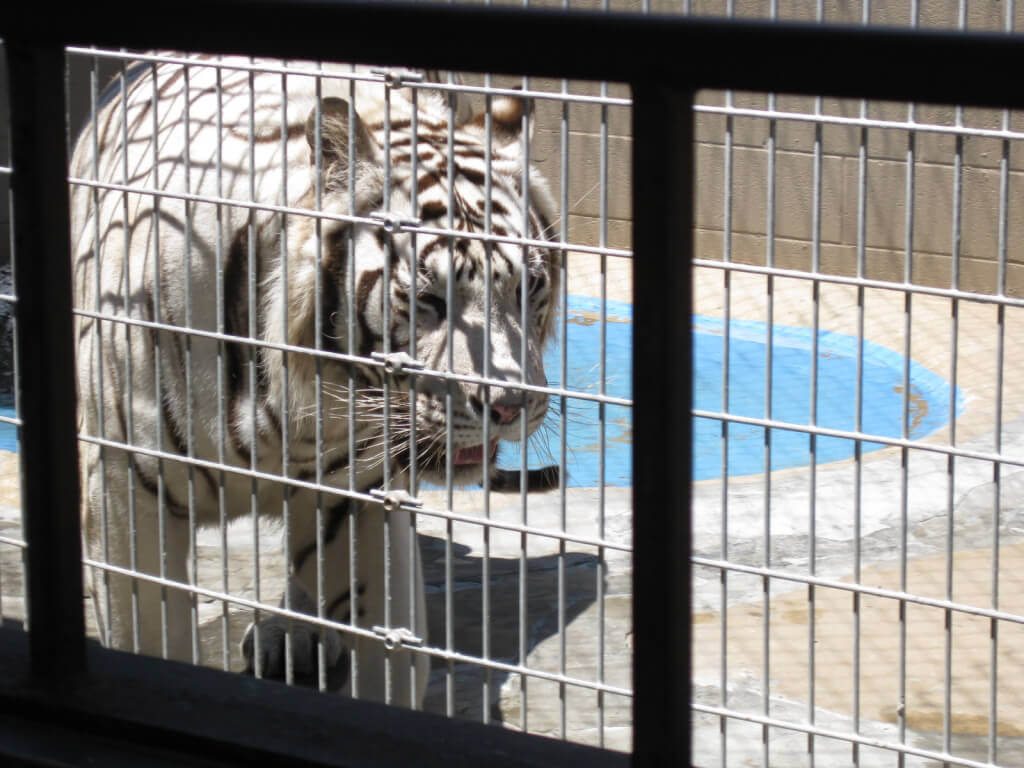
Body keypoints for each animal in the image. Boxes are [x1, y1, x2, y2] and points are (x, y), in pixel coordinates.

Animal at [70, 57, 561, 708]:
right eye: (429, 300)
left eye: (530, 288)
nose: (510, 406)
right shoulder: (128, 490)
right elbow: (147, 636)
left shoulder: (361, 497)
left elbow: (386, 655)